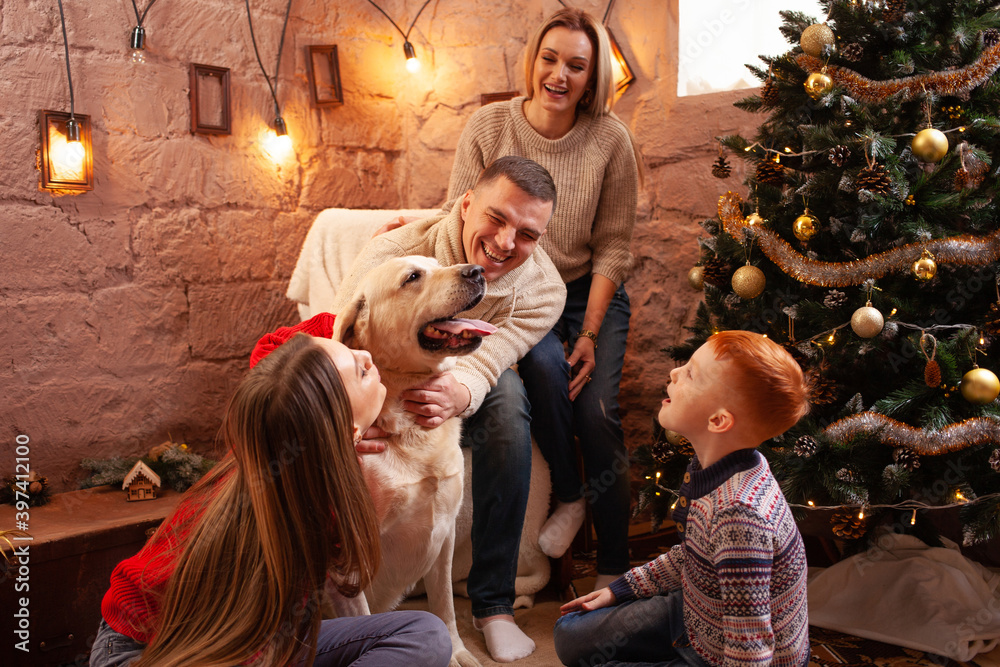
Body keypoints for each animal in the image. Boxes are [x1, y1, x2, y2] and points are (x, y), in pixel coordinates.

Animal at [332, 256, 496, 667]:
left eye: (437, 264)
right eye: (412, 278)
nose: (477, 271)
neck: (409, 430)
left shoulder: (445, 534)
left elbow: (445, 606)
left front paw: (456, 652)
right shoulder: (349, 561)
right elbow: (362, 618)